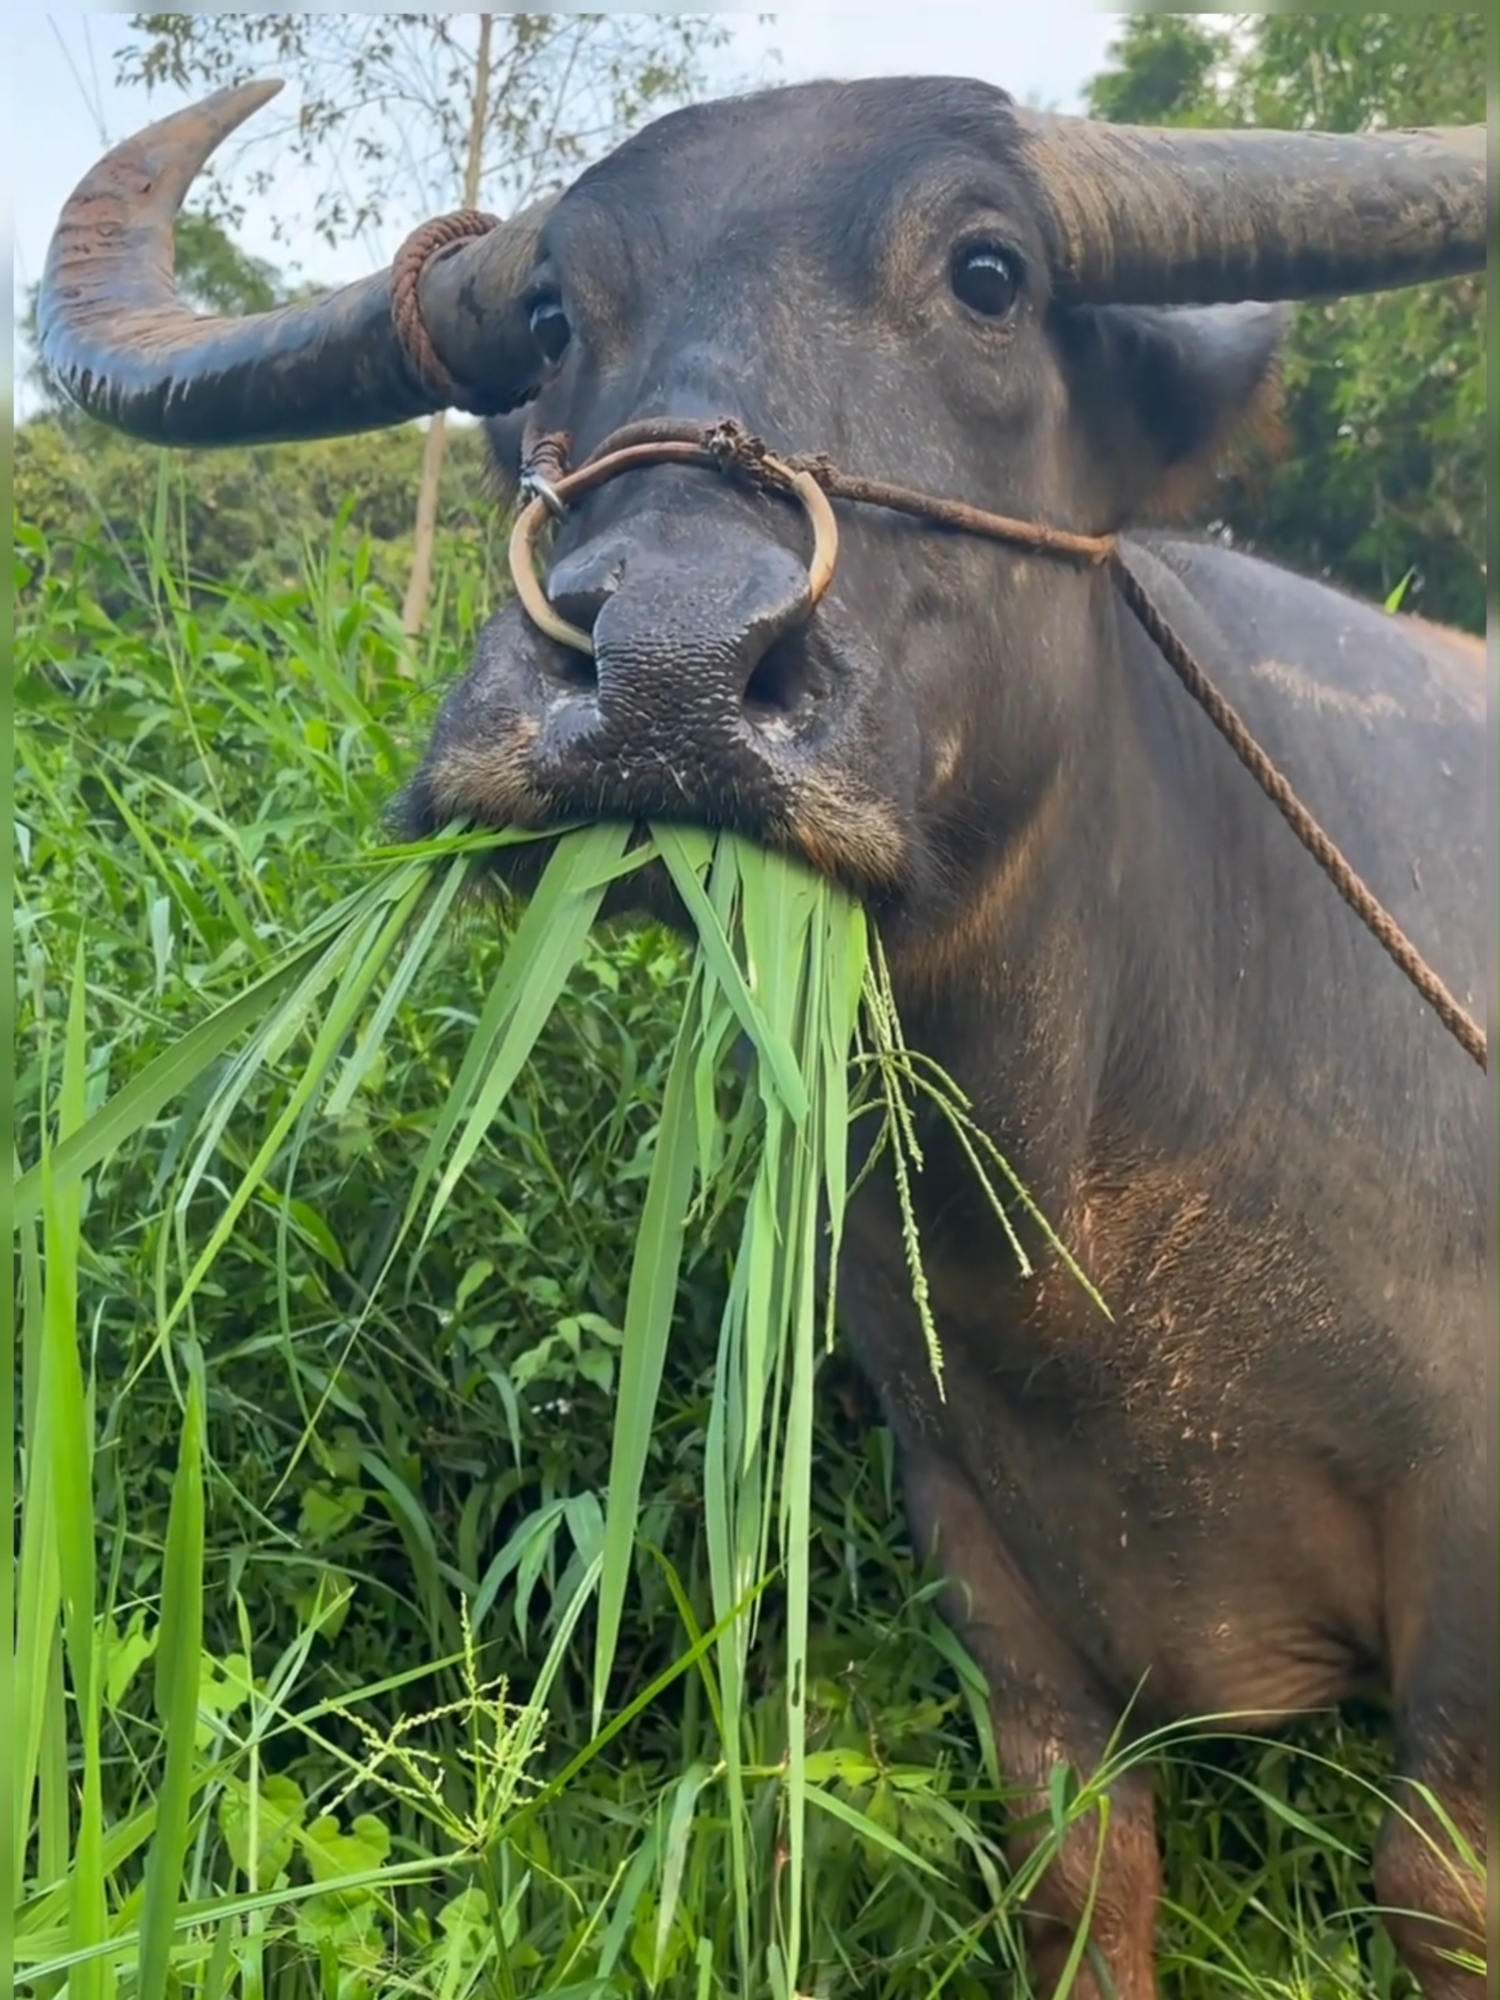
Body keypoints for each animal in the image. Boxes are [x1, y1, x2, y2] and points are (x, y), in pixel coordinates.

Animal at [41, 70, 1496, 1992]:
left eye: (990, 274)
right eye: (552, 320)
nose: (659, 666)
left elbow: (1435, 1889)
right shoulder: (970, 1521)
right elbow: (1072, 1868)